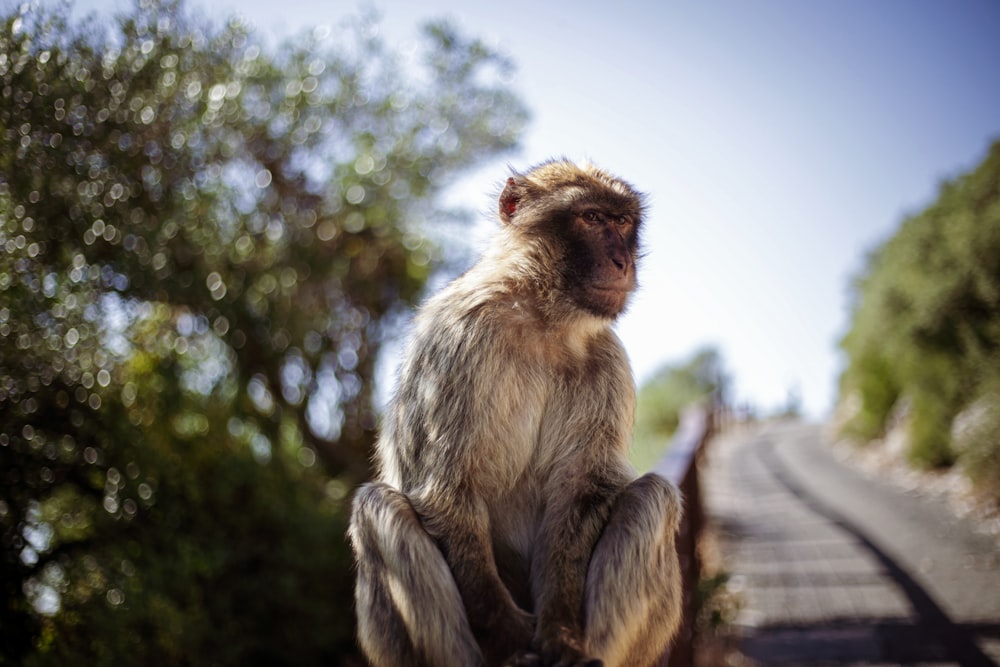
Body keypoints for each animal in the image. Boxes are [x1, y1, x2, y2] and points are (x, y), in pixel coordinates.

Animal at [348, 159, 684, 664]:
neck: (545, 318)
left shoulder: (607, 360)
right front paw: (507, 635)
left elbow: (580, 491)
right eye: (591, 218)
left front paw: (562, 635)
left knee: (653, 498)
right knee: (377, 506)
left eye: (622, 221)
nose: (623, 262)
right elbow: (447, 489)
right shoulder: (460, 339)